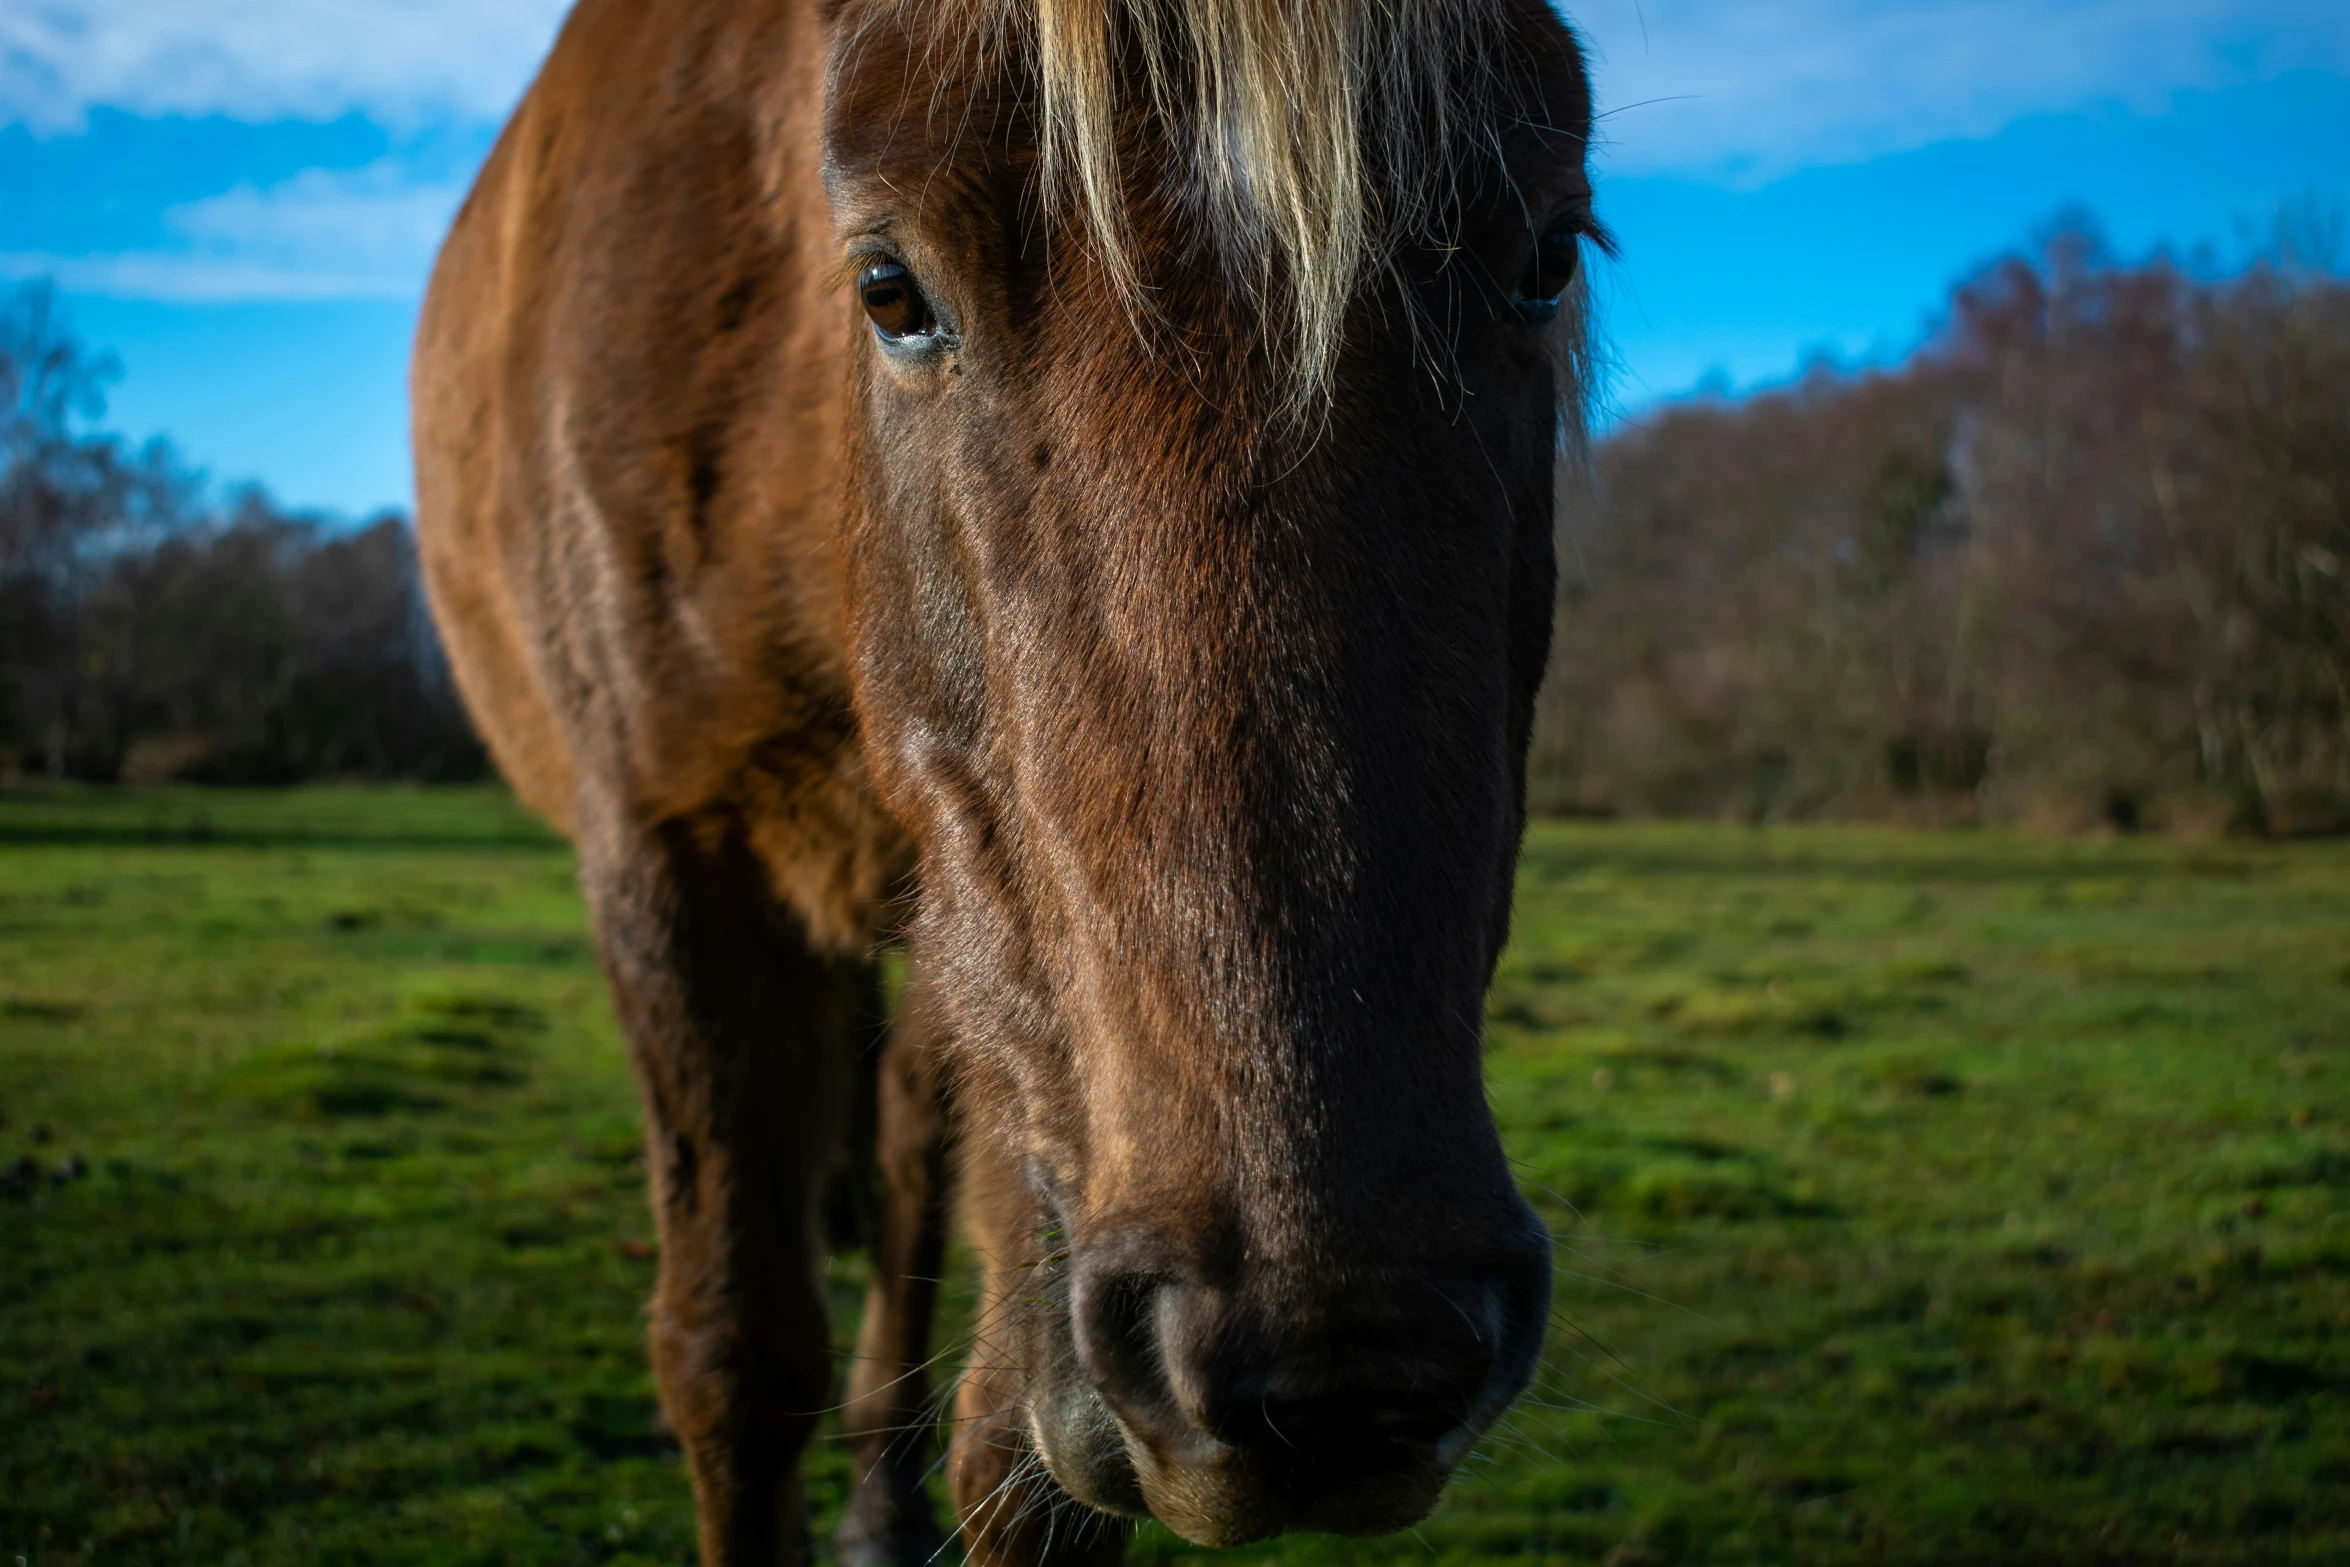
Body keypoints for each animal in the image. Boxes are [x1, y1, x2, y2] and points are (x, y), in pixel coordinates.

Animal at [418, 0, 1597, 1559]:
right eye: (887, 288)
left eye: (1545, 257)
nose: (1348, 1348)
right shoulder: (668, 858)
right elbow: (733, 1358)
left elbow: (1007, 1448)